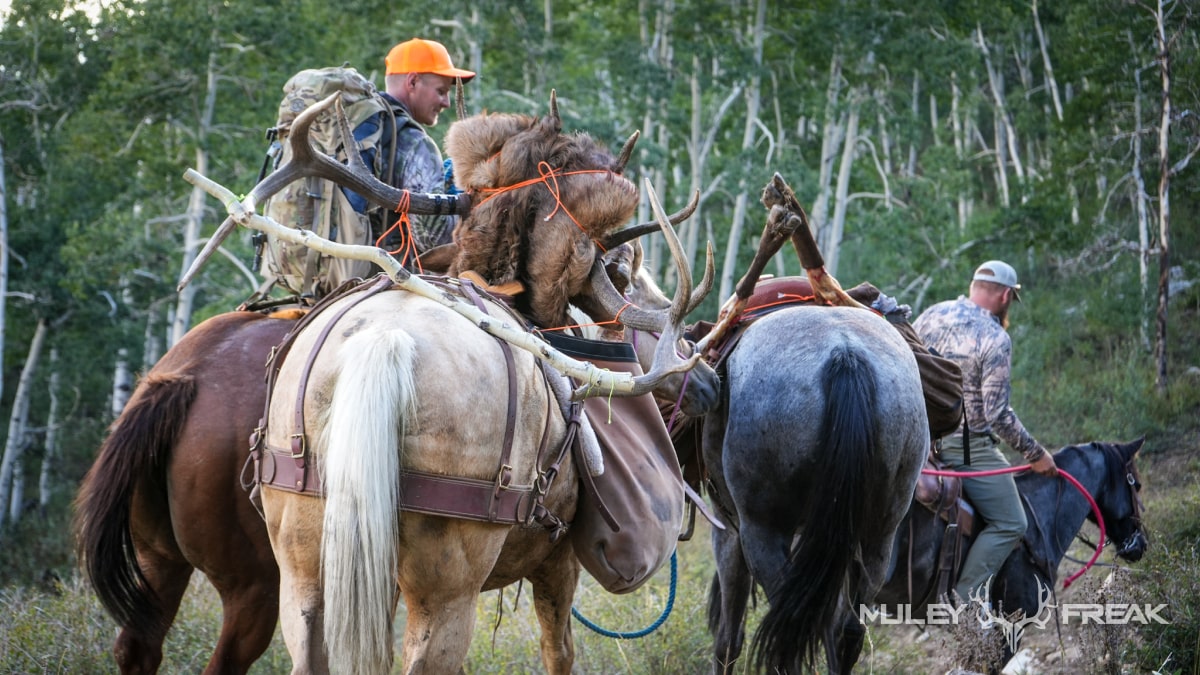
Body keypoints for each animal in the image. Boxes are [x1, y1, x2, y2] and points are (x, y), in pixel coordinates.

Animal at [700, 306, 931, 672]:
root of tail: (846, 355)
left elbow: (728, 639)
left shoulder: (728, 528)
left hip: (763, 531)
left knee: (788, 634)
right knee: (846, 629)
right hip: (879, 534)